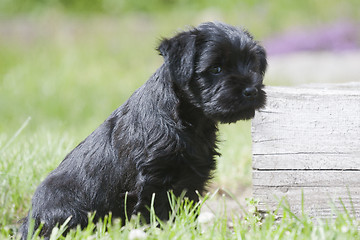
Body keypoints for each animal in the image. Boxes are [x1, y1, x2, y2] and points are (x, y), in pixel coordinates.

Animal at [19, 22, 268, 238]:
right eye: (216, 69)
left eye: (254, 66)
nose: (251, 91)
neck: (189, 121)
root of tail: (30, 219)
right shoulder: (154, 181)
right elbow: (155, 214)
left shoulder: (193, 179)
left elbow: (187, 212)